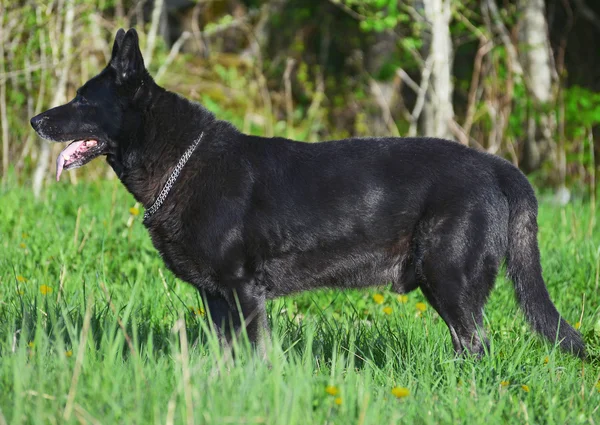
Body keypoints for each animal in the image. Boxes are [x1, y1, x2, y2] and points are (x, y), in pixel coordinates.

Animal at [30, 28, 584, 356]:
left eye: (82, 99)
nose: (36, 120)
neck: (180, 161)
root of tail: (497, 167)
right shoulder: (216, 298)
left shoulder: (244, 292)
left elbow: (255, 354)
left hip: (450, 281)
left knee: (475, 348)